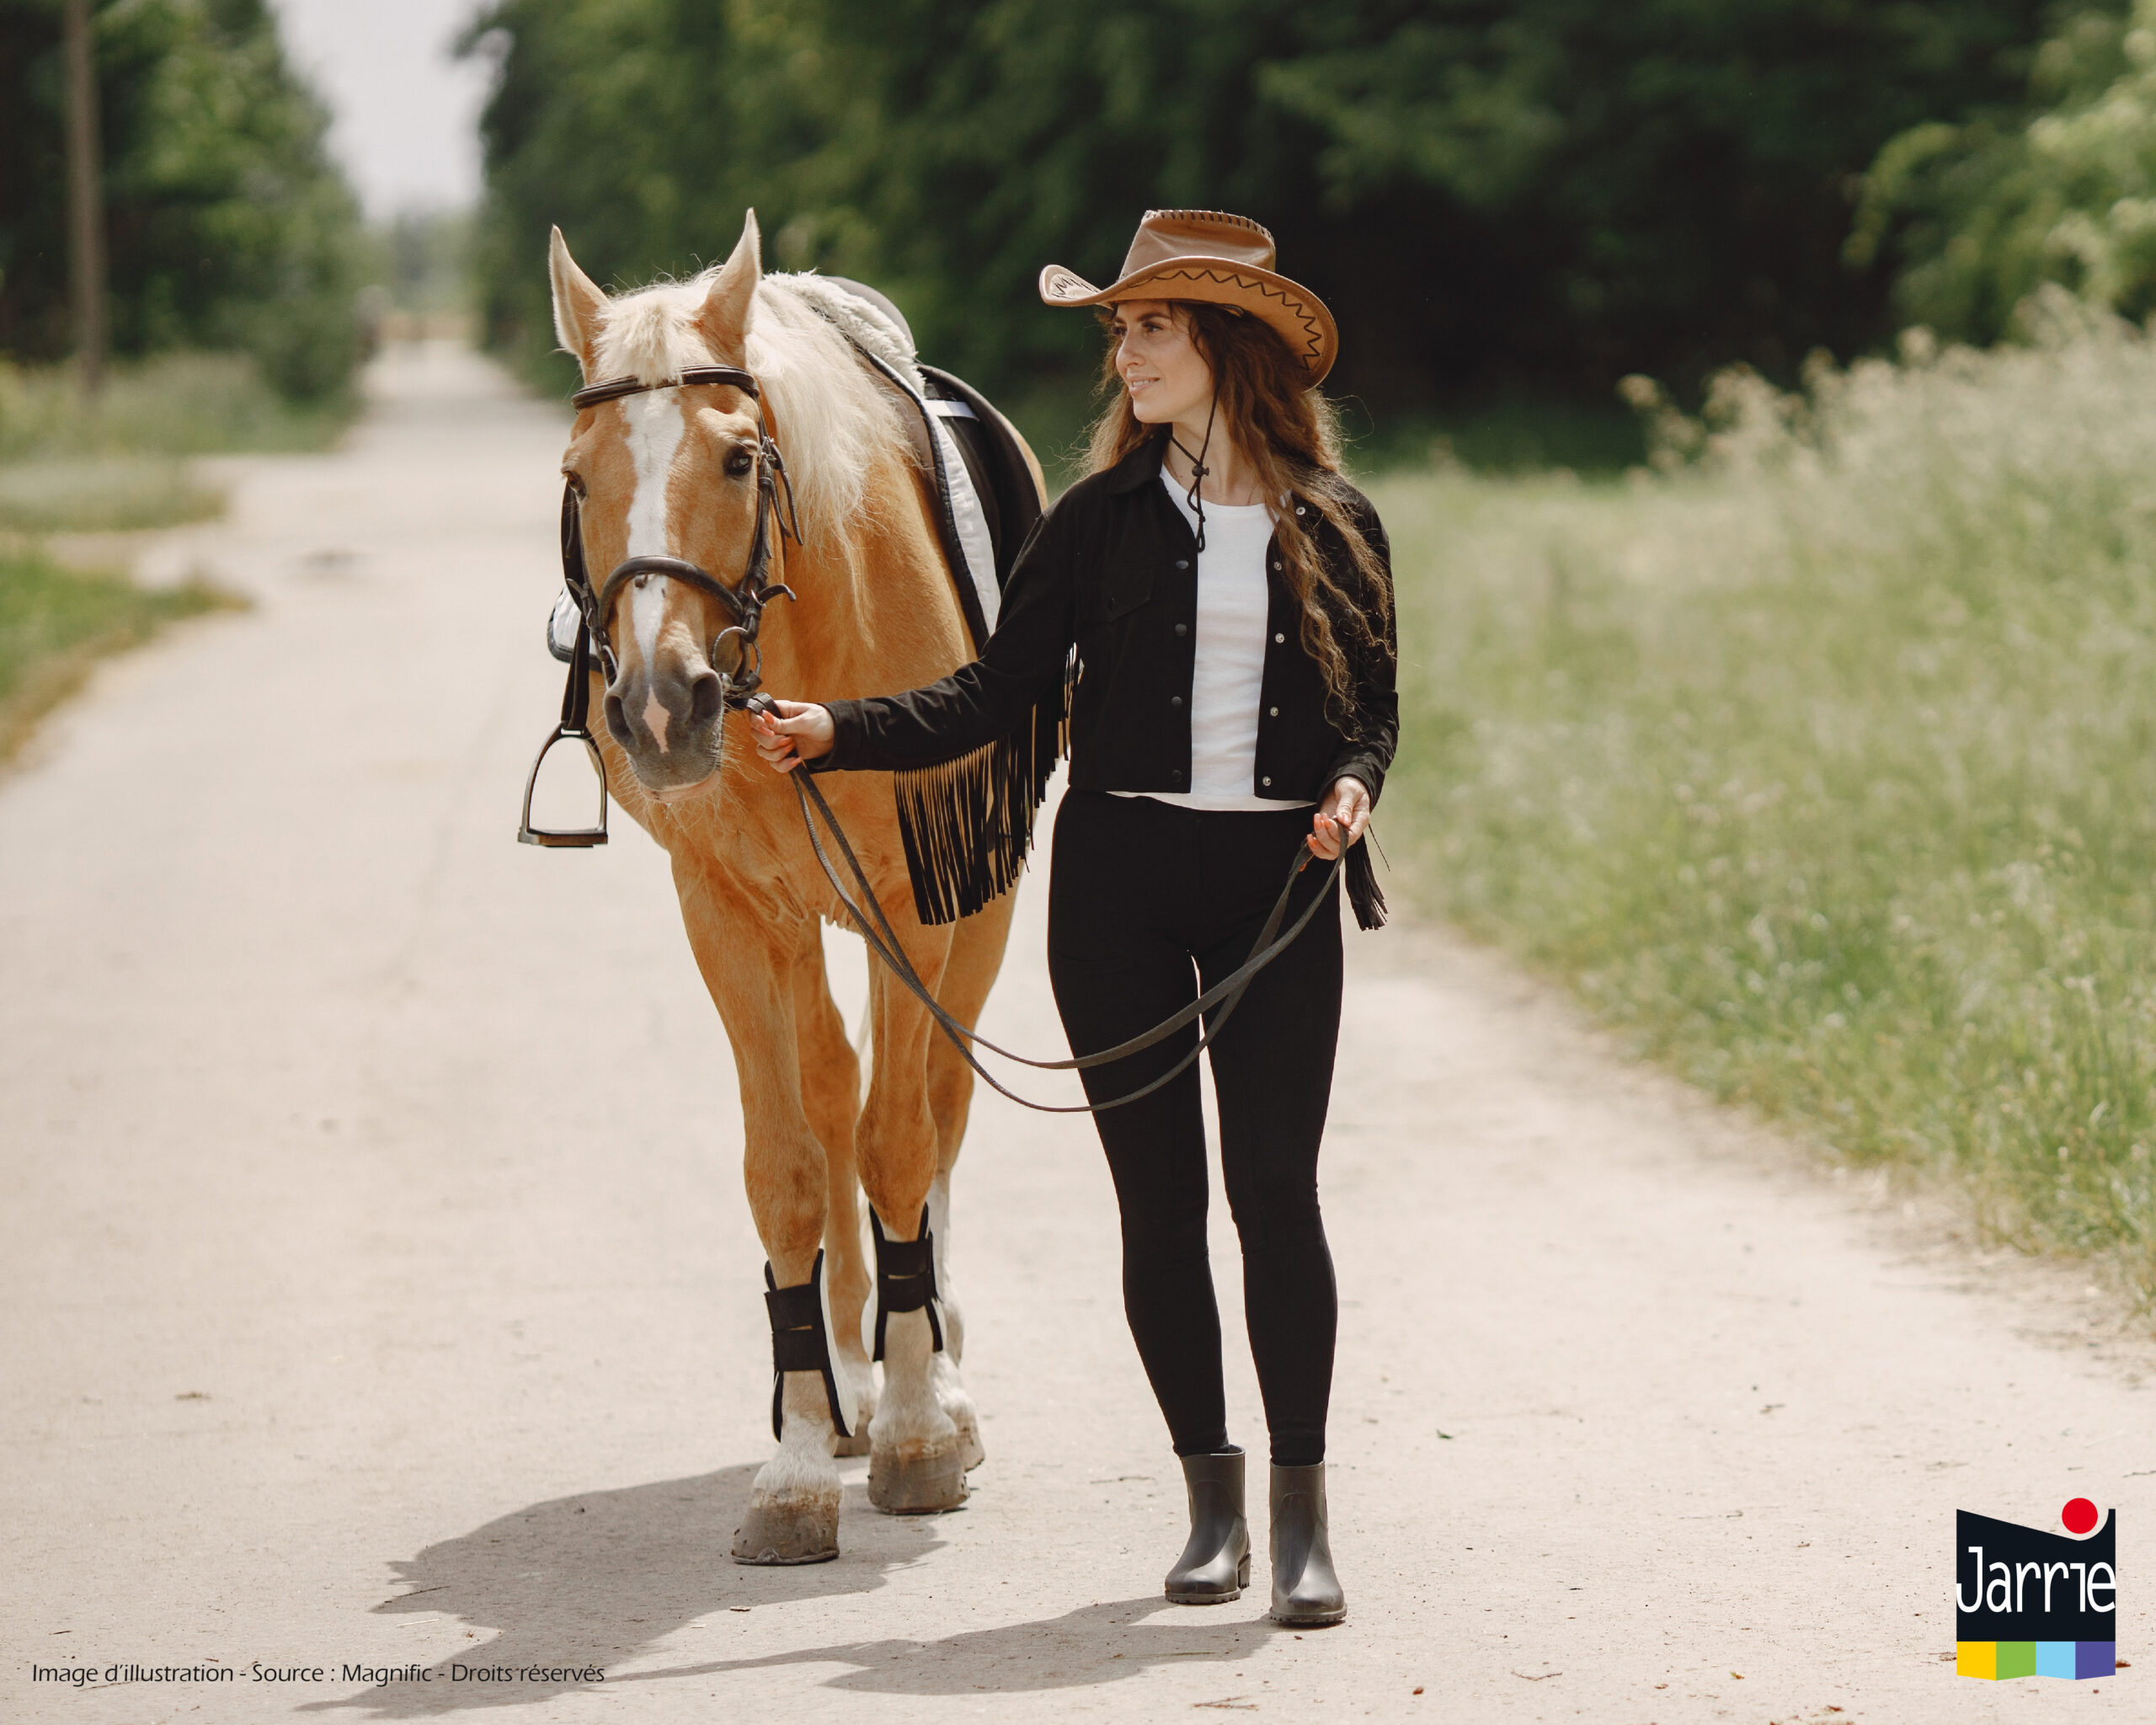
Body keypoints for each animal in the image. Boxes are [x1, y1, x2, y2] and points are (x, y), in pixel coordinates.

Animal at [544, 211, 1042, 1563]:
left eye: (734, 458)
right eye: (577, 475)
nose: (663, 705)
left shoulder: (915, 903)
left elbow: (904, 1137)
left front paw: (923, 1431)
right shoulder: (729, 908)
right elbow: (790, 1167)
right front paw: (802, 1459)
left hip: (968, 913)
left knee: (932, 1107)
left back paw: (938, 1379)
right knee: (835, 1097)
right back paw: (857, 1383)